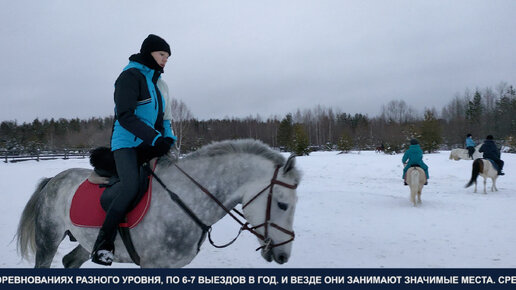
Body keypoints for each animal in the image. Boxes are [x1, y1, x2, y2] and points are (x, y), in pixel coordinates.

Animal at [16, 139, 300, 268]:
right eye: (283, 205)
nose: (284, 255)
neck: (185, 199)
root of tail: (53, 180)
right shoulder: (153, 265)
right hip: (48, 238)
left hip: (86, 241)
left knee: (70, 262)